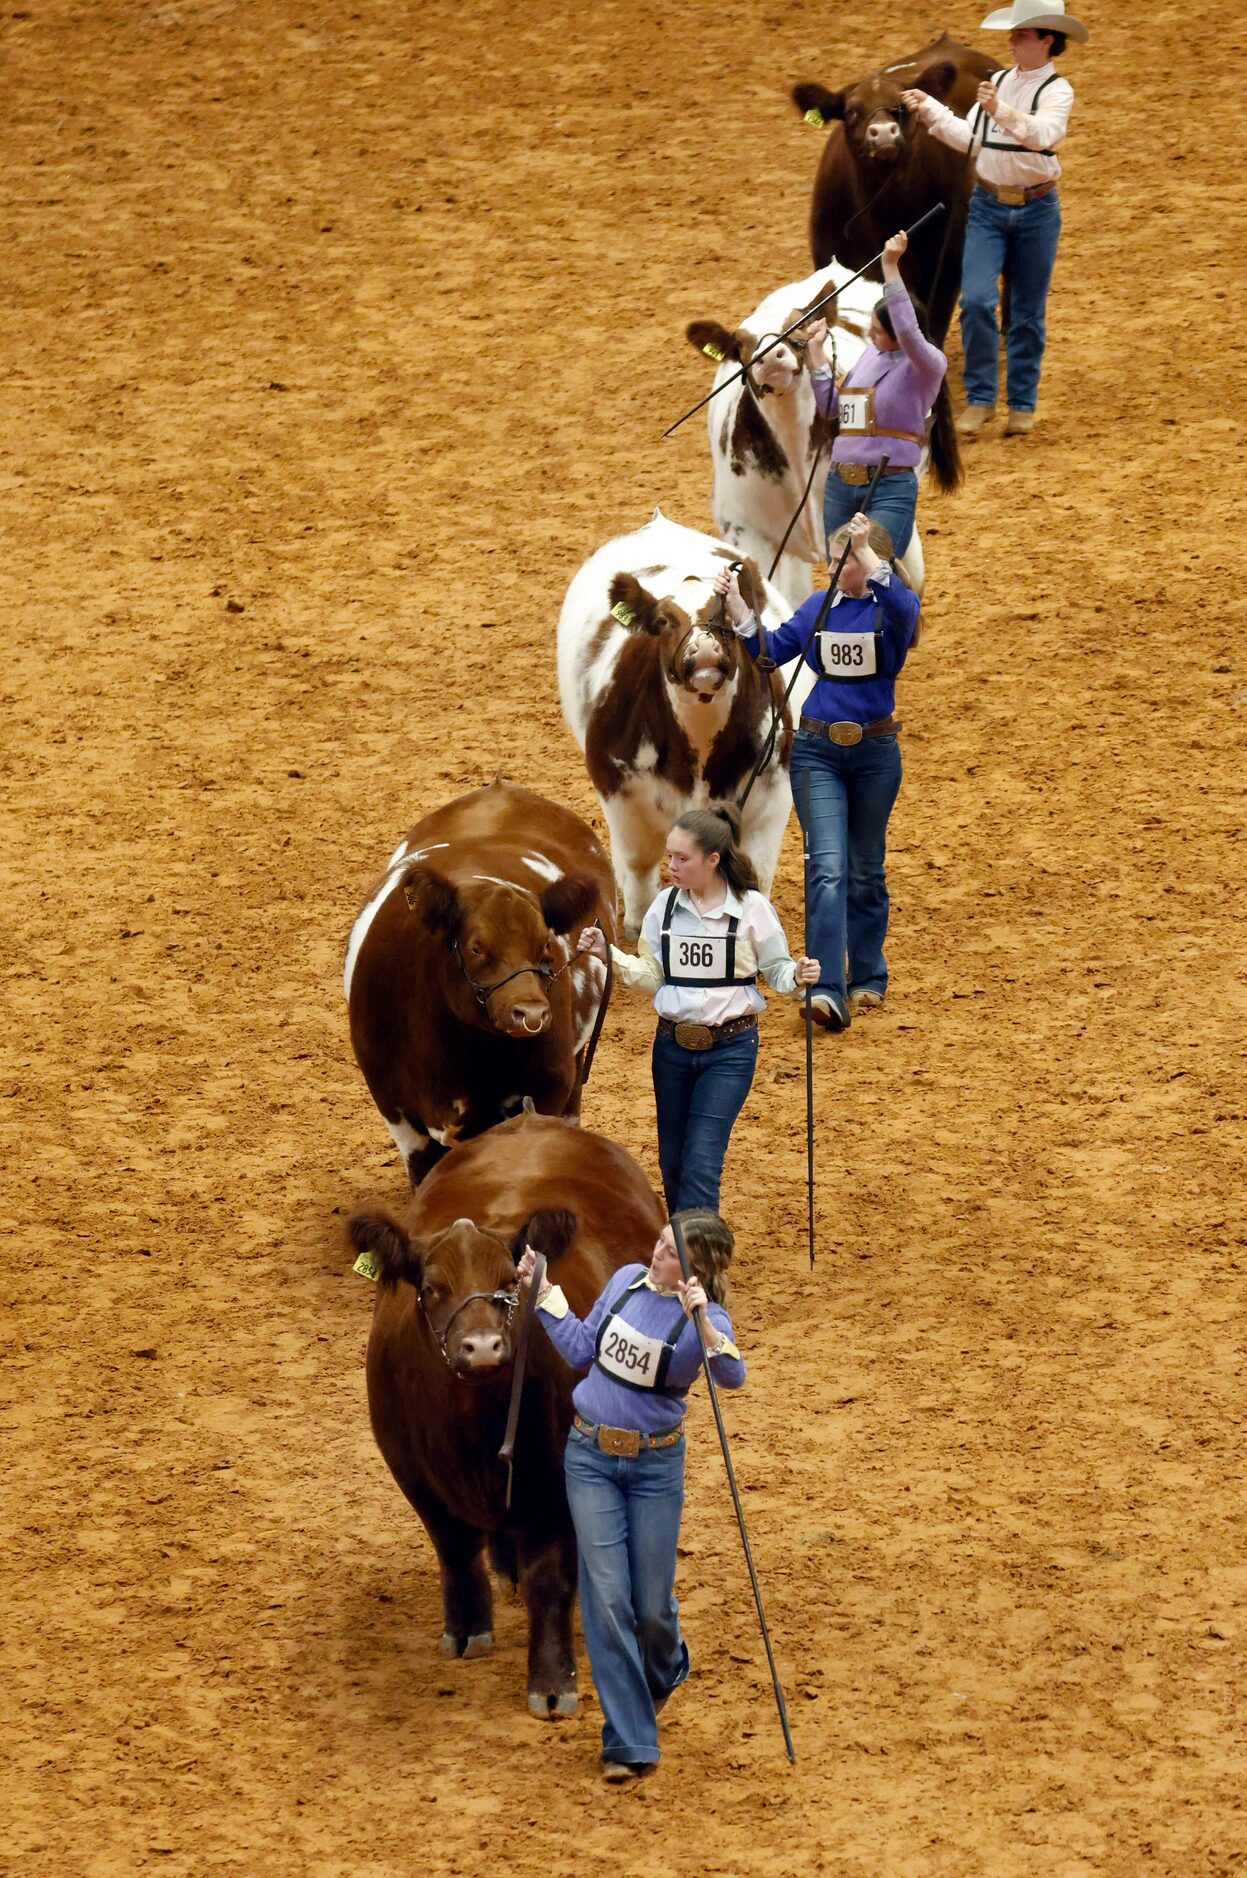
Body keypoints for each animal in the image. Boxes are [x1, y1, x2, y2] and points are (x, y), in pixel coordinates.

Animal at [555, 510, 792, 939]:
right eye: (665, 620)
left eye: (729, 617)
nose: (705, 651)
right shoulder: (618, 791)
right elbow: (638, 873)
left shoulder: (773, 792)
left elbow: (756, 875)